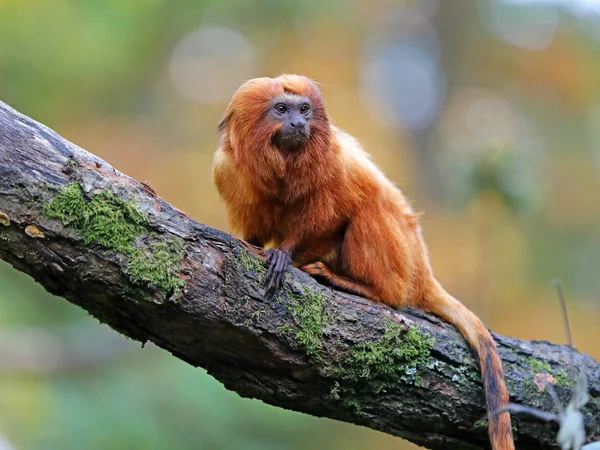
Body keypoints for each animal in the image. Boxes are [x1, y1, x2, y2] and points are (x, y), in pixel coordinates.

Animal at [212, 74, 516, 450]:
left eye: (304, 110)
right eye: (281, 110)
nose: (299, 124)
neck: (282, 166)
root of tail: (423, 271)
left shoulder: (335, 166)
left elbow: (333, 216)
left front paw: (286, 253)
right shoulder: (228, 173)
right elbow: (253, 231)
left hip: (403, 258)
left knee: (373, 209)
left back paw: (363, 287)